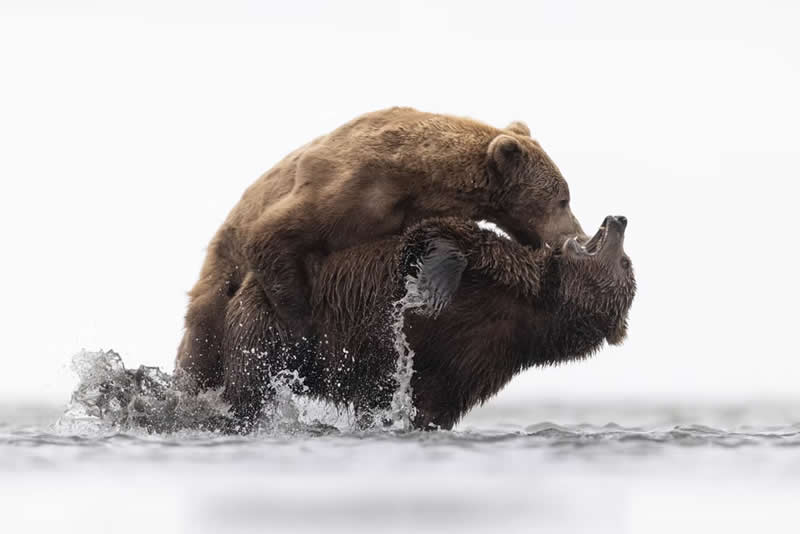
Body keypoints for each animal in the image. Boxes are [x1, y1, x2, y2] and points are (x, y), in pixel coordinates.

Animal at [177, 107, 587, 389]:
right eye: (563, 199)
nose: (578, 235)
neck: (419, 180)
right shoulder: (345, 188)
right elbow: (271, 235)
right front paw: (303, 332)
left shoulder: (399, 212)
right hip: (219, 271)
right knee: (201, 334)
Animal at [215, 215, 635, 430]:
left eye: (625, 263)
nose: (620, 219)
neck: (538, 304)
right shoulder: (503, 286)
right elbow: (440, 234)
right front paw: (434, 285)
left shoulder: (483, 355)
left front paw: (433, 286)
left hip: (270, 325)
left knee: (253, 376)